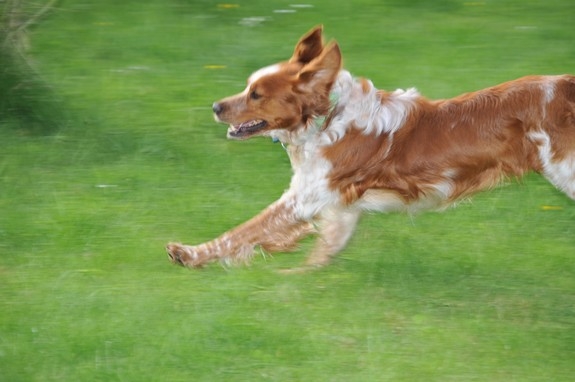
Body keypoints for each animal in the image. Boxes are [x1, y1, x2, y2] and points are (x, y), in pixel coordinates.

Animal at [166, 25, 575, 270]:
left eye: (256, 94)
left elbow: (244, 230)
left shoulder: (305, 197)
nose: (216, 107)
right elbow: (315, 255)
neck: (325, 121)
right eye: (247, 87)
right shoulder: (339, 210)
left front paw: (189, 254)